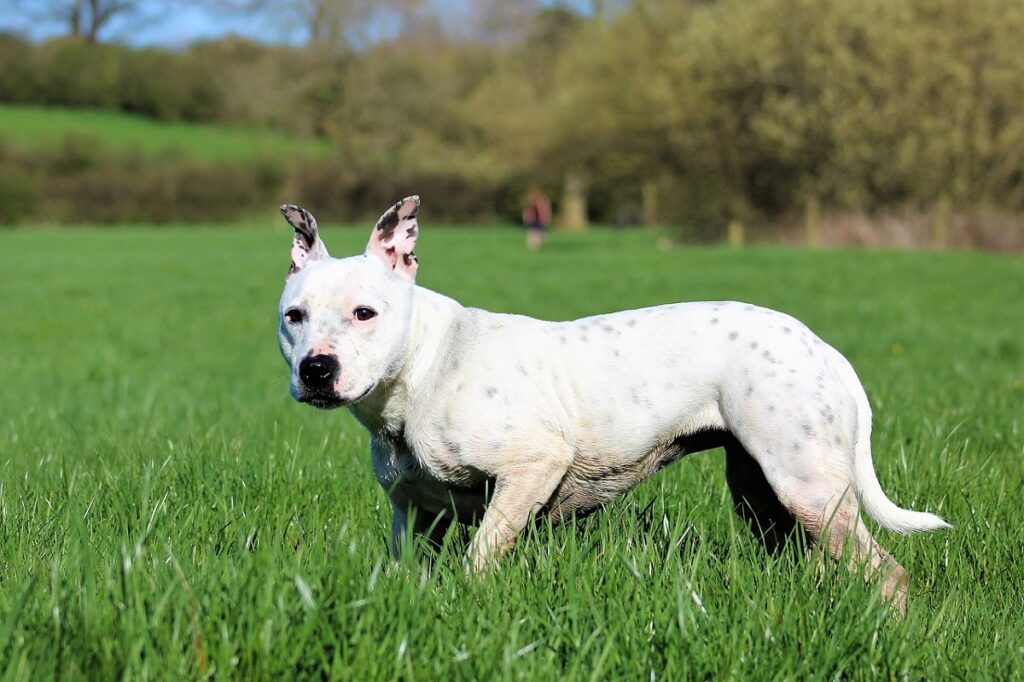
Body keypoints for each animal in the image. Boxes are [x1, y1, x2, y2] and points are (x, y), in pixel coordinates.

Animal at [276, 195, 946, 610]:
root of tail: (822, 345)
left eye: (366, 313)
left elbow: (480, 558)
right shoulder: (411, 516)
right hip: (764, 494)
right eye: (294, 317)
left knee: (888, 572)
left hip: (806, 487)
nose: (317, 370)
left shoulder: (532, 469)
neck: (423, 366)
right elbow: (404, 566)